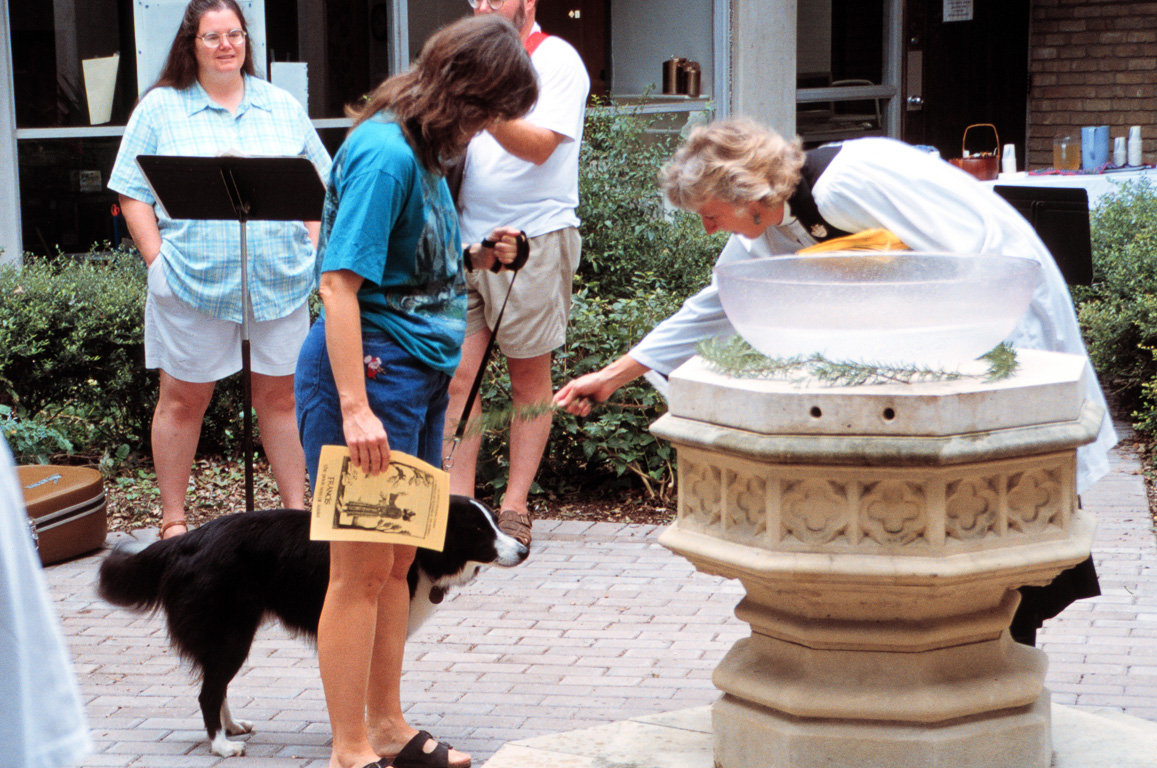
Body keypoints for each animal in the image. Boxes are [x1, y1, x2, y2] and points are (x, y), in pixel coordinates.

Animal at [99, 497, 529, 754]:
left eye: (494, 522)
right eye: (477, 529)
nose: (524, 551)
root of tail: (186, 540)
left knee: (216, 685)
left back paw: (232, 726)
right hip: (232, 632)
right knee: (208, 690)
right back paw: (222, 745)